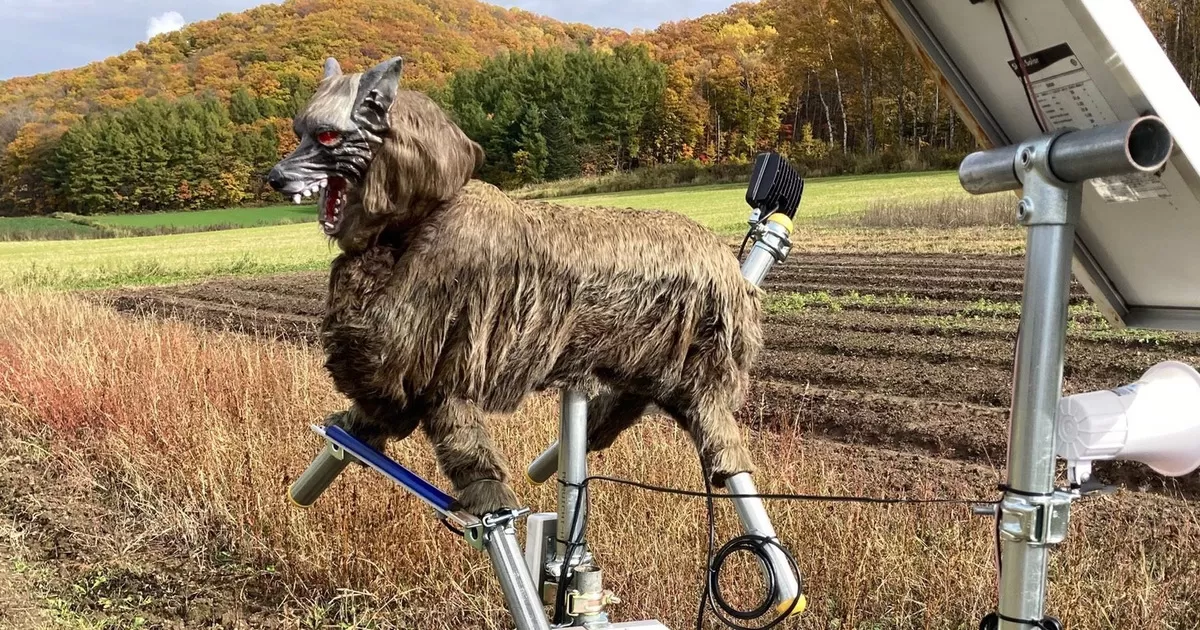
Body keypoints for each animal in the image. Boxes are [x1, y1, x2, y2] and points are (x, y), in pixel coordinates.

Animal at [268, 56, 765, 517]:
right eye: (298, 132)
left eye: (327, 136)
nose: (274, 176)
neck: (421, 214)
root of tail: (727, 263)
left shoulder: (432, 344)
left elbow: (425, 406)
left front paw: (486, 491)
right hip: (648, 362)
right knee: (633, 404)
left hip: (700, 368)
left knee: (716, 428)